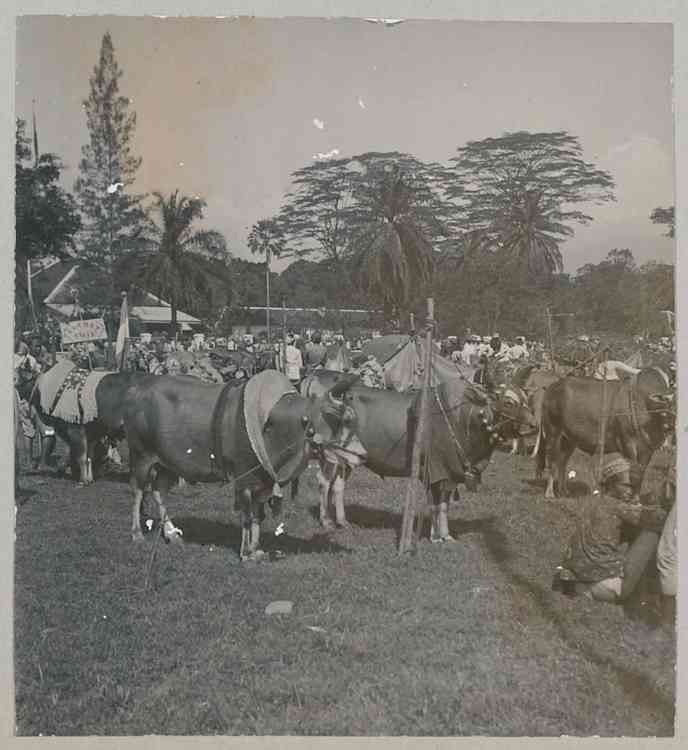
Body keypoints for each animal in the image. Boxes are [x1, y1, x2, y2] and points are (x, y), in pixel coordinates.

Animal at [120, 374, 362, 560]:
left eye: (350, 418)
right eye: (335, 419)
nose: (361, 454)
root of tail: (136, 389)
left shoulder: (262, 481)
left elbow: (257, 516)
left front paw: (256, 549)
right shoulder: (244, 479)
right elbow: (246, 517)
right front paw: (246, 553)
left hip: (166, 462)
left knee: (158, 491)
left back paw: (171, 534)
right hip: (141, 455)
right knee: (138, 492)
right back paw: (137, 534)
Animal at [298, 372, 536, 544]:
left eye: (526, 399)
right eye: (508, 402)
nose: (534, 425)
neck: (464, 418)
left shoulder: (451, 473)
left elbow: (444, 505)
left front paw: (446, 534)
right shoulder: (434, 470)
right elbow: (434, 504)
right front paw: (434, 536)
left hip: (348, 456)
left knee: (338, 485)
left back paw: (342, 521)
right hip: (328, 453)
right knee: (324, 481)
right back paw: (327, 521)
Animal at [536, 368, 676, 502]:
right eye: (668, 402)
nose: (671, 426)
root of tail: (552, 387)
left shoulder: (649, 449)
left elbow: (641, 472)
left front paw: (636, 499)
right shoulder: (627, 442)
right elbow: (634, 470)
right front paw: (631, 499)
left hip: (569, 439)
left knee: (562, 461)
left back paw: (563, 491)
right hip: (552, 432)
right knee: (552, 460)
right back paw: (550, 493)